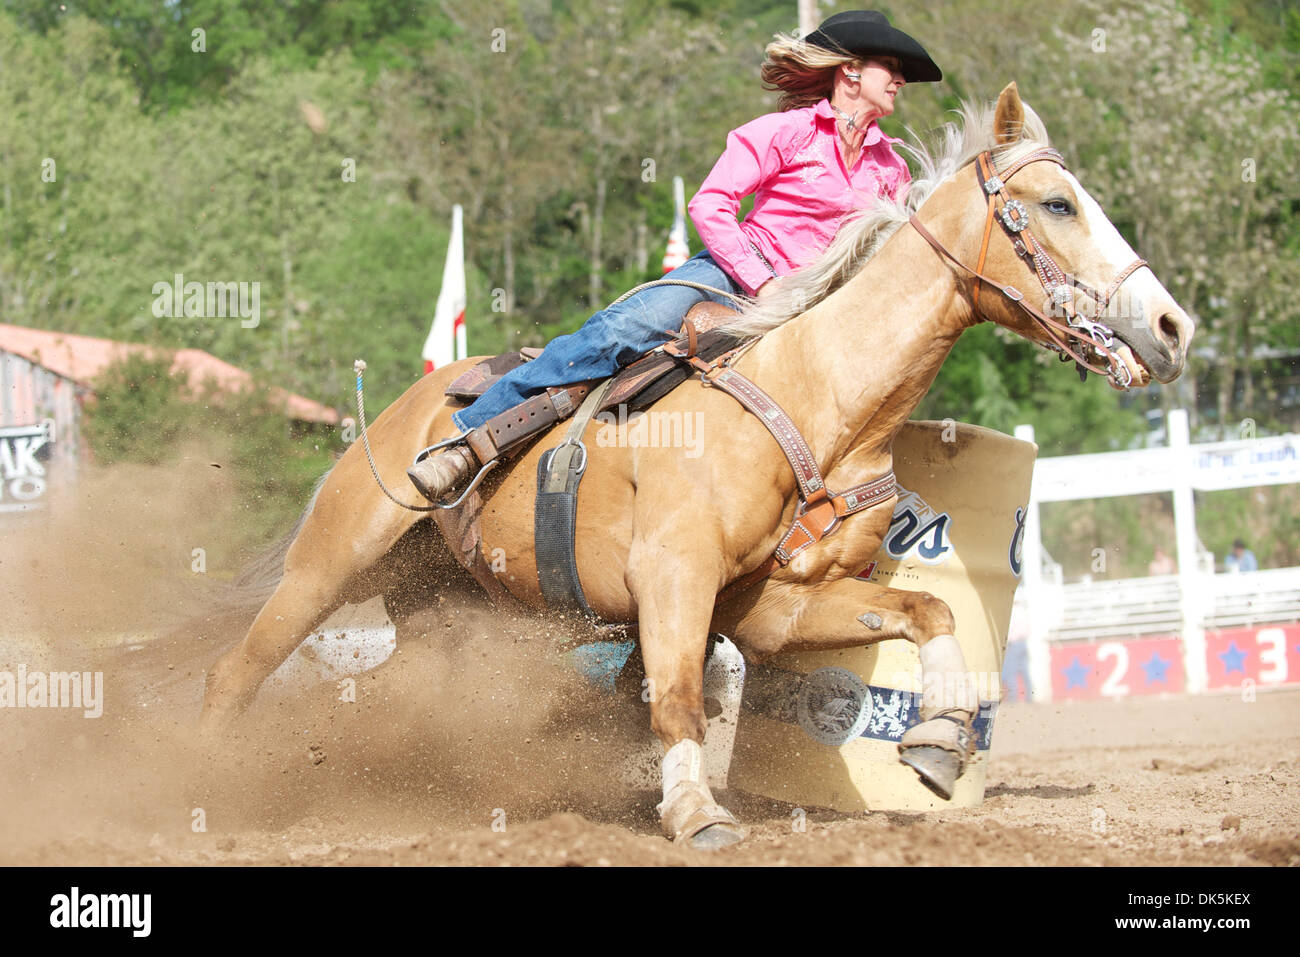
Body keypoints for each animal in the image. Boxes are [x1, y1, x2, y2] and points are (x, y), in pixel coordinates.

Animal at [200, 82, 1196, 842]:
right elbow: (676, 695)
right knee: (236, 672)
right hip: (332, 561)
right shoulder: (674, 577)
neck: (815, 397)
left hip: (447, 606)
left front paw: (943, 739)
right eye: (1060, 204)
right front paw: (695, 811)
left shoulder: (775, 607)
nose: (1173, 325)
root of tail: (405, 406)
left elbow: (926, 610)